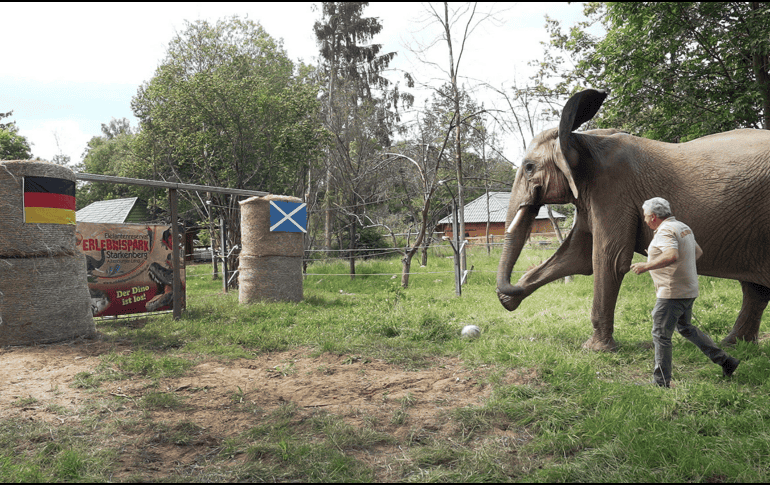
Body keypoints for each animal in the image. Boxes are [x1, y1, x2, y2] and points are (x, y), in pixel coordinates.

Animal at [496, 88, 770, 351]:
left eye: (529, 167)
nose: (509, 290)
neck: (582, 138)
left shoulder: (612, 190)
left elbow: (608, 259)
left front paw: (594, 350)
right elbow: (577, 256)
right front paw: (509, 298)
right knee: (755, 290)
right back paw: (734, 344)